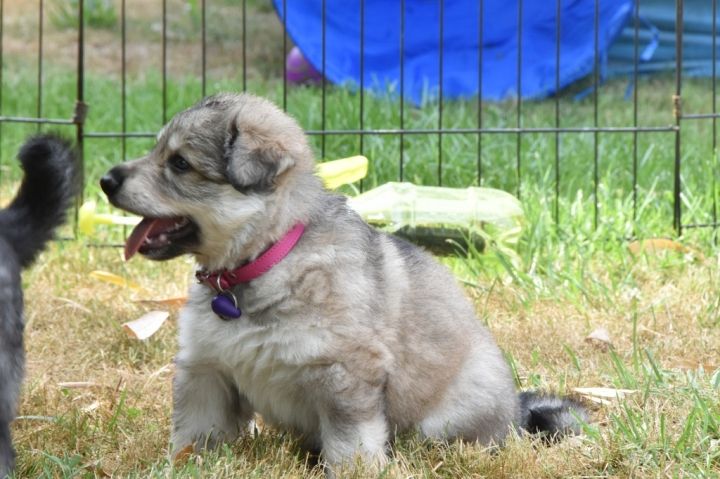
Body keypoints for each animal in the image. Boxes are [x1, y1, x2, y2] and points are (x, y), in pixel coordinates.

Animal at [100, 93, 587, 473]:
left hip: (448, 416)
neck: (264, 259)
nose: (105, 180)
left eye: (180, 163)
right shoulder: (207, 370)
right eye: (158, 151)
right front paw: (180, 467)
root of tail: (516, 416)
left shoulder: (346, 375)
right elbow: (193, 434)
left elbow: (351, 441)